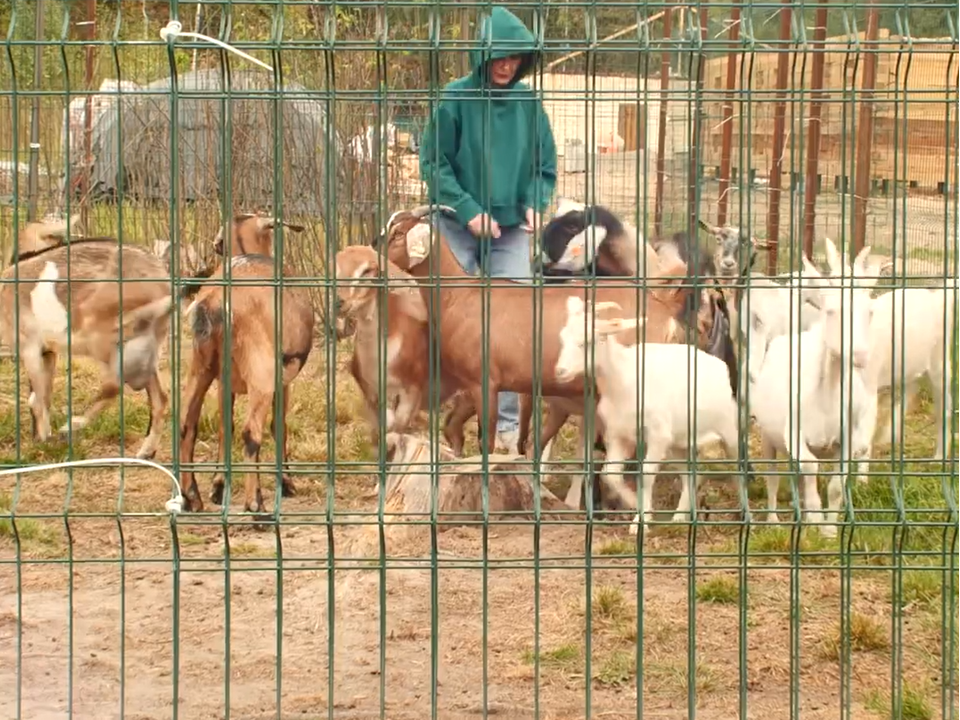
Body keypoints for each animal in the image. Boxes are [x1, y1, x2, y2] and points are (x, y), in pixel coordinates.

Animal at [0, 217, 174, 458]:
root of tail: (163, 284)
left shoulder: (29, 348)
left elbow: (36, 400)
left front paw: (44, 443)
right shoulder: (48, 352)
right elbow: (43, 396)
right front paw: (43, 440)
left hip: (103, 337)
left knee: (113, 385)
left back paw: (72, 426)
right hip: (144, 348)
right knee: (159, 398)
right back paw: (145, 452)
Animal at [178, 214, 314, 516]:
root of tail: (214, 300)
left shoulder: (223, 382)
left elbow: (223, 427)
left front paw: (218, 486)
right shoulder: (282, 382)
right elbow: (278, 427)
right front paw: (287, 483)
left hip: (199, 366)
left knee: (185, 424)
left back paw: (191, 496)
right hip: (261, 374)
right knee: (251, 432)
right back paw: (256, 504)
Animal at [372, 202, 692, 458]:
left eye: (398, 234)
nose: (373, 256)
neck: (461, 295)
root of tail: (664, 310)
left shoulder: (484, 382)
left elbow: (486, 441)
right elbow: (456, 430)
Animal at [556, 296, 752, 536]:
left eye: (588, 341)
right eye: (563, 337)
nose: (560, 371)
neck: (625, 379)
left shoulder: (658, 435)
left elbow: (646, 474)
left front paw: (640, 519)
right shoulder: (619, 435)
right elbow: (610, 474)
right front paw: (637, 506)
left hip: (729, 430)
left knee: (739, 468)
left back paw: (748, 516)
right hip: (679, 442)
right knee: (691, 475)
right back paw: (679, 517)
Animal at [752, 239, 880, 536]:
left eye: (869, 312)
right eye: (830, 311)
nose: (860, 355)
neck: (826, 397)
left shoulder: (848, 437)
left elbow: (835, 485)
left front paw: (829, 530)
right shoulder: (793, 432)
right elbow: (810, 468)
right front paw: (815, 519)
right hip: (767, 435)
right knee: (773, 476)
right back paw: (774, 520)